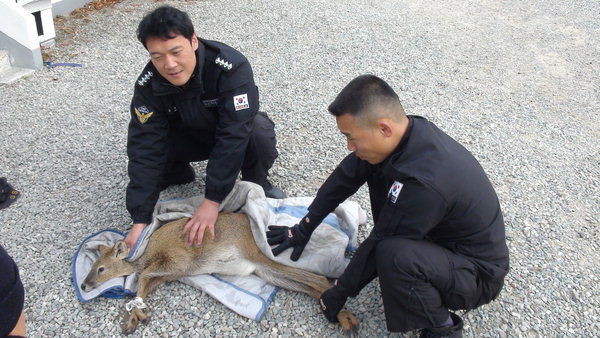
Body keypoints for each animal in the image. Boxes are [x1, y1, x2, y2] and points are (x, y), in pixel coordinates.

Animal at [81, 213, 358, 334]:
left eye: (101, 268)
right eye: (94, 267)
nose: (84, 285)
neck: (148, 253)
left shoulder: (178, 260)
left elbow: (142, 276)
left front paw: (136, 316)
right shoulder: (167, 274)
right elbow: (144, 284)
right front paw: (133, 318)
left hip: (257, 253)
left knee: (317, 278)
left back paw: (345, 317)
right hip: (264, 270)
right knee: (308, 284)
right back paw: (343, 315)